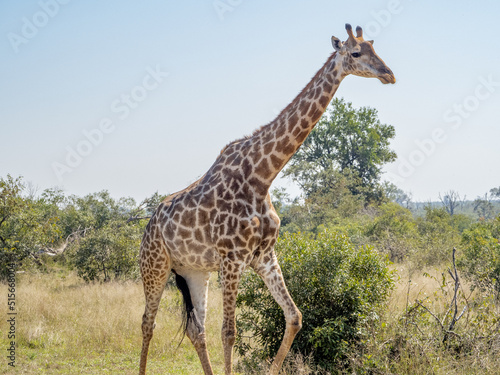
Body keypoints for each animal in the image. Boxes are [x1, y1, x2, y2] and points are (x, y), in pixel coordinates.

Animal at [140, 23, 394, 375]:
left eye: (374, 47)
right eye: (356, 53)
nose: (389, 74)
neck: (262, 175)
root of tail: (149, 224)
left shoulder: (264, 256)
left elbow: (294, 317)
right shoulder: (232, 258)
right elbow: (229, 332)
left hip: (194, 271)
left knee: (196, 329)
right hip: (155, 266)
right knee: (148, 324)